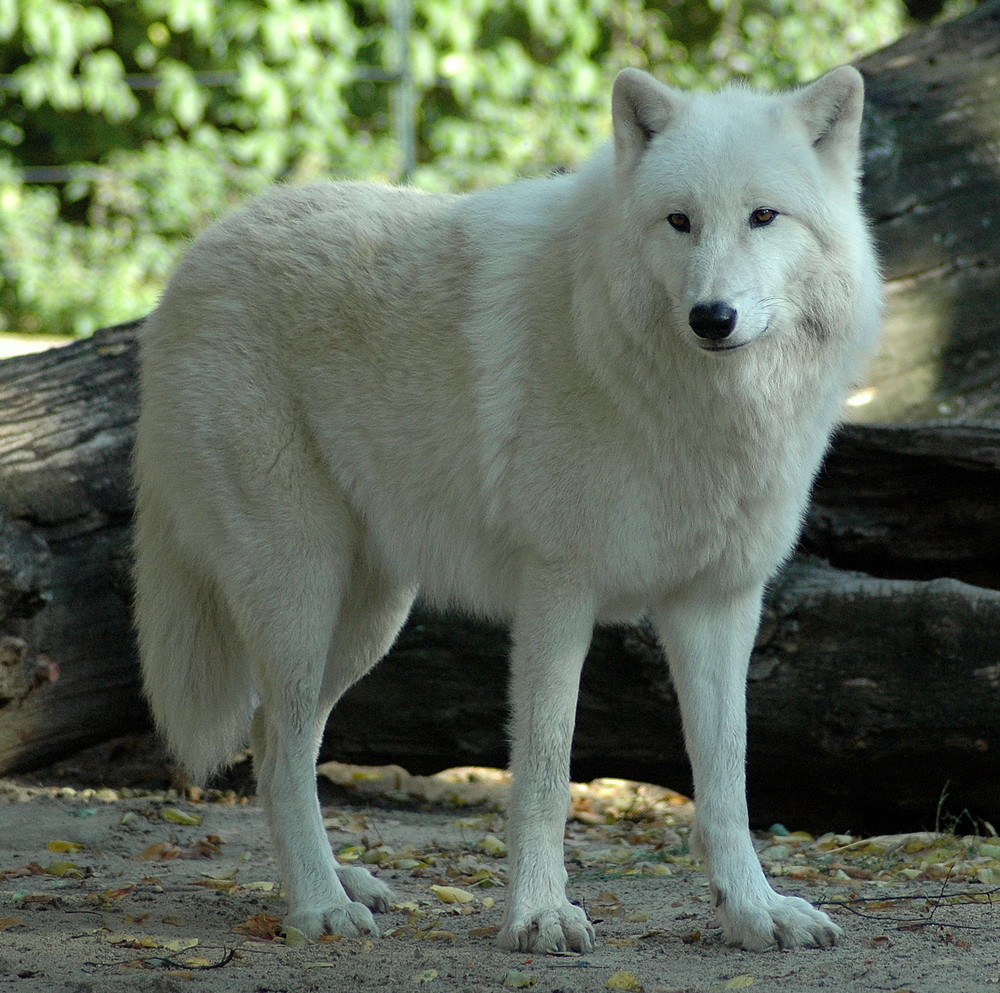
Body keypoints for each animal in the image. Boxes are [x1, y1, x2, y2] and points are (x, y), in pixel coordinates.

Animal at [135, 66, 884, 948]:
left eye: (764, 216)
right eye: (680, 221)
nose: (712, 317)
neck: (695, 406)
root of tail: (189, 262)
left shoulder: (718, 601)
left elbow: (727, 778)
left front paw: (756, 911)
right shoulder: (558, 589)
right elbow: (547, 773)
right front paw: (540, 914)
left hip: (367, 617)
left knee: (276, 739)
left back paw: (335, 884)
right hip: (301, 589)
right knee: (280, 746)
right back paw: (320, 905)